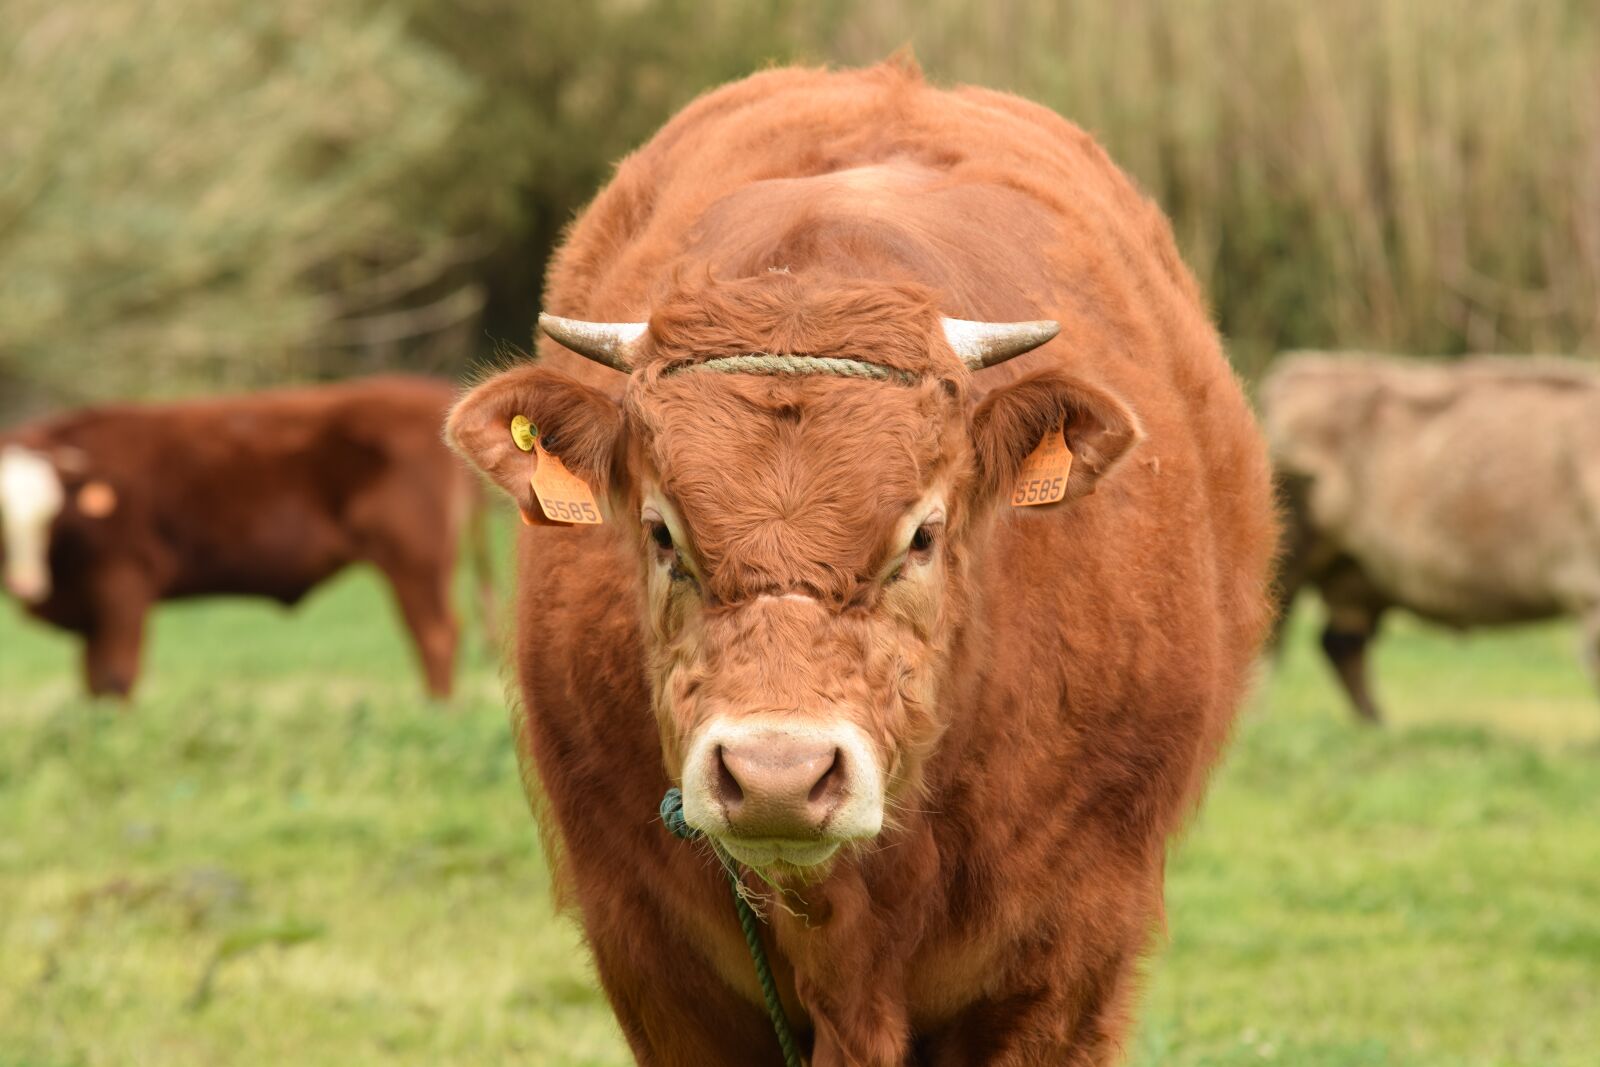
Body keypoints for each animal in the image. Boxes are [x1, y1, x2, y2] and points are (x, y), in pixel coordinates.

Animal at [0, 375, 488, 699]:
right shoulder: (90, 613)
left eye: (47, 513)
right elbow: (91, 681)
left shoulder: (122, 588)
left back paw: (438, 713)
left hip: (416, 563)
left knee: (436, 636)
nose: (23, 582)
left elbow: (116, 677)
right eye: (3, 520)